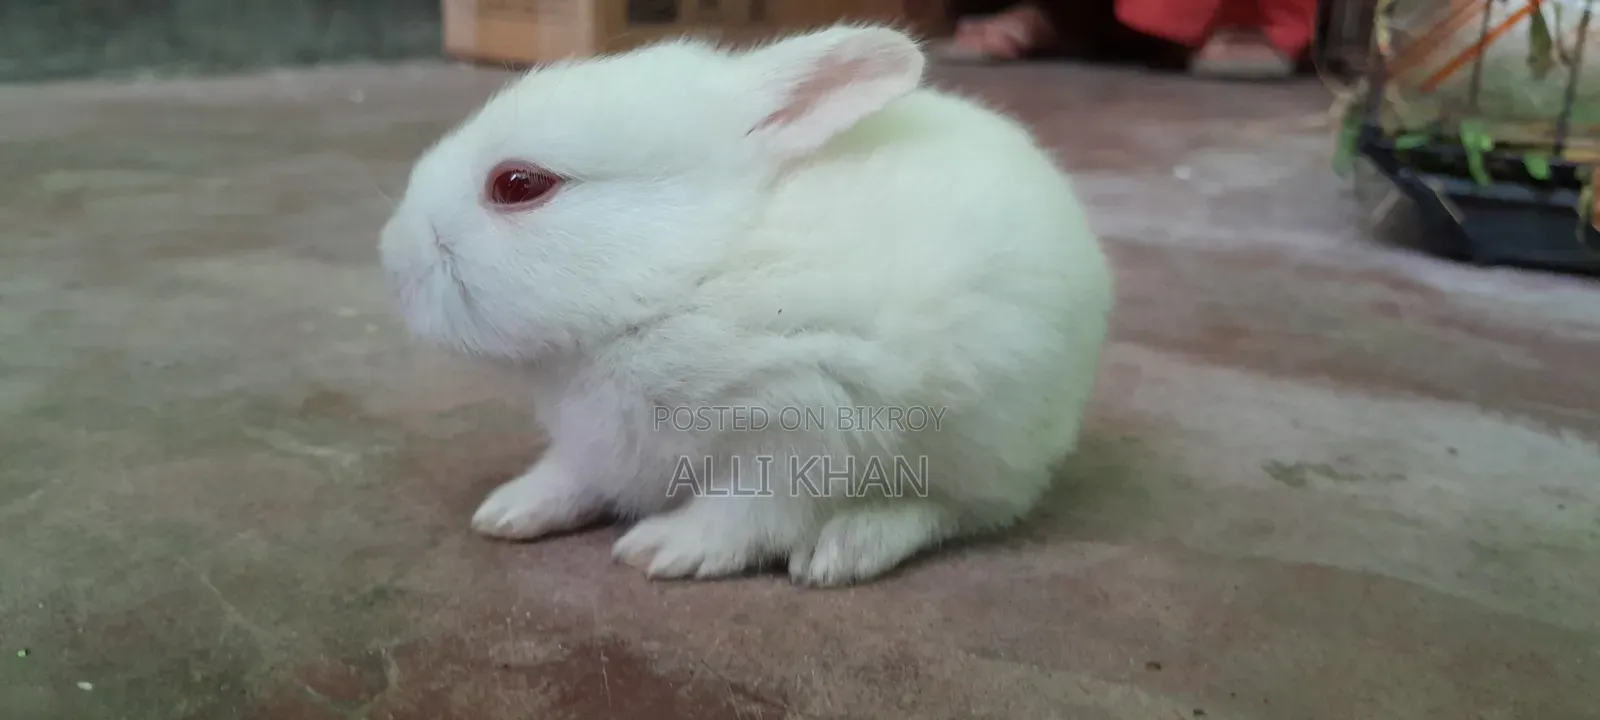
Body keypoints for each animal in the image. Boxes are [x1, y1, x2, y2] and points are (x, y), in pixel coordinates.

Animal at [377, 23, 1114, 587]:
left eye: (519, 184)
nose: (393, 258)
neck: (691, 272)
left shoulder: (803, 431)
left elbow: (746, 512)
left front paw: (666, 549)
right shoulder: (598, 447)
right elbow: (571, 475)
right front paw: (510, 510)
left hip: (988, 440)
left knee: (957, 510)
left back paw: (846, 549)